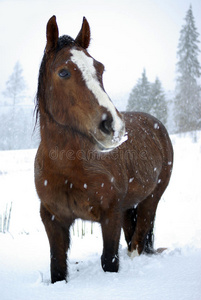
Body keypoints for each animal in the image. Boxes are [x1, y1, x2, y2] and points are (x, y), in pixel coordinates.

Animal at [34, 15, 173, 284]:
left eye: (100, 69)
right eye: (63, 72)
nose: (114, 126)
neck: (70, 167)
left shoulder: (111, 216)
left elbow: (110, 262)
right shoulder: (53, 219)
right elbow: (58, 269)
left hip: (151, 200)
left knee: (137, 243)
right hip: (130, 207)